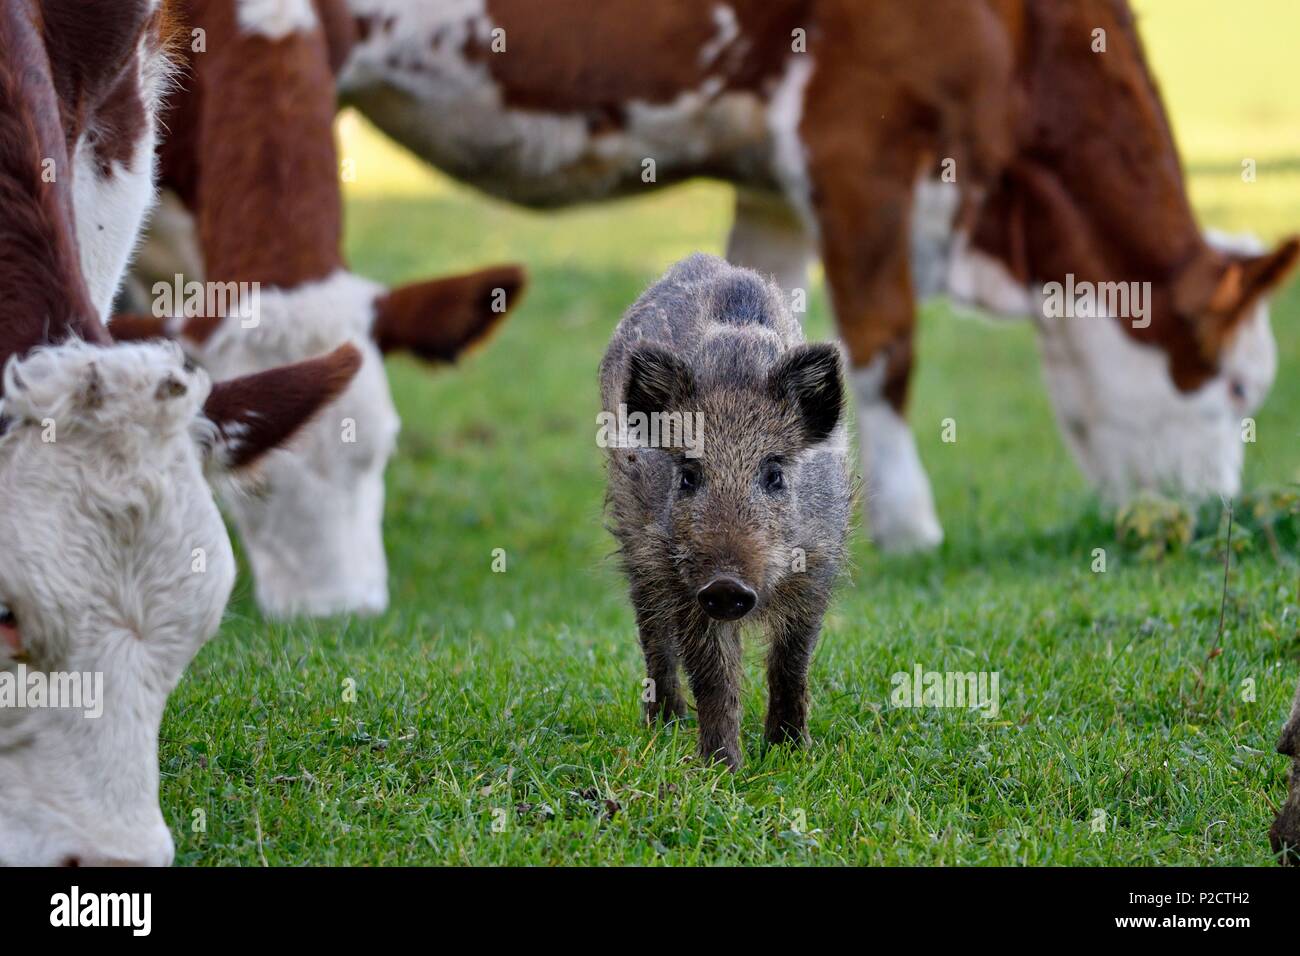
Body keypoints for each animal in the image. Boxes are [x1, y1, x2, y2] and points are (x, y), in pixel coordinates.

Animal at [327, 0, 1300, 548]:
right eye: (1240, 389)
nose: (1214, 517)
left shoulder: (773, 187)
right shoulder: (857, 138)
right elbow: (885, 345)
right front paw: (910, 529)